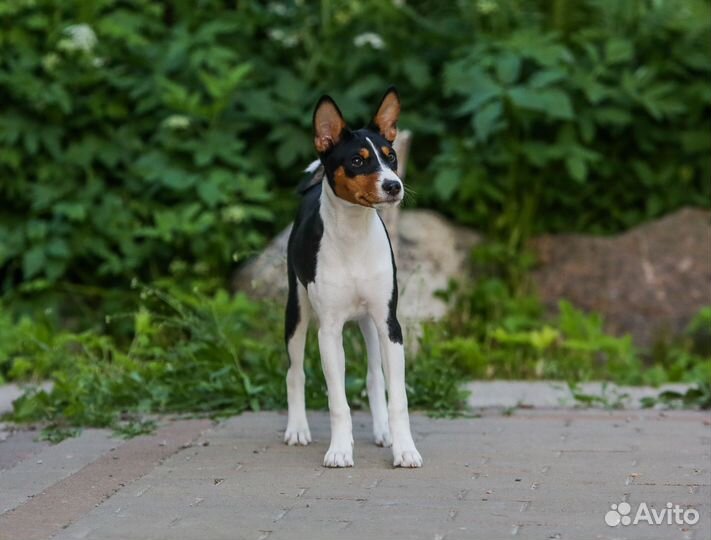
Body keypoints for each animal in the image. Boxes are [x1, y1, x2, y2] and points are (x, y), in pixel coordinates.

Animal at [284, 88, 422, 468]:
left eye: (391, 158)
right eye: (358, 161)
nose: (394, 185)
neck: (354, 237)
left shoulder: (390, 324)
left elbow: (398, 398)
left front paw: (404, 449)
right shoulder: (329, 332)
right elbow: (338, 402)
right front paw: (340, 450)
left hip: (369, 325)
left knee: (375, 378)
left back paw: (382, 432)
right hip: (296, 313)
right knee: (294, 373)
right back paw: (297, 429)